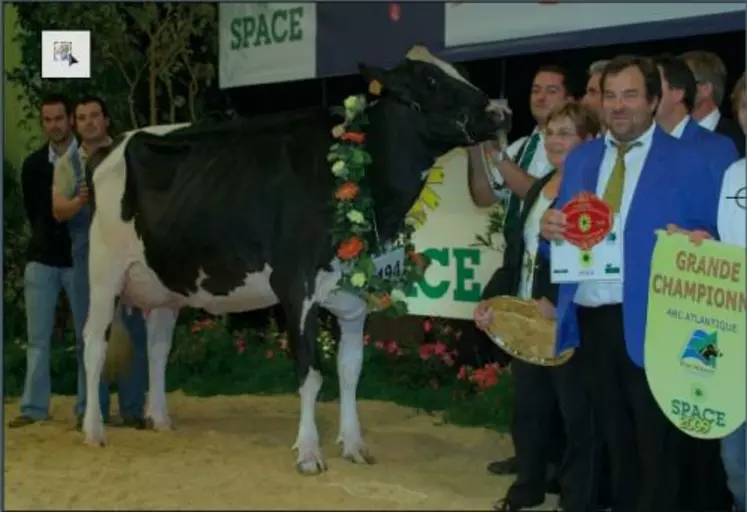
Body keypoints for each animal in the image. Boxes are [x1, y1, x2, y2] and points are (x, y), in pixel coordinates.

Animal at [83, 46, 516, 474]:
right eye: (430, 80)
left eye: (461, 72)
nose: (500, 112)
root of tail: (113, 144)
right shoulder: (296, 286)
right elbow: (310, 374)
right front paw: (309, 452)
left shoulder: (355, 294)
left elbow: (350, 369)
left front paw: (354, 445)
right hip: (103, 271)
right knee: (94, 343)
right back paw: (93, 430)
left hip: (167, 283)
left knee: (158, 347)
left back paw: (159, 419)